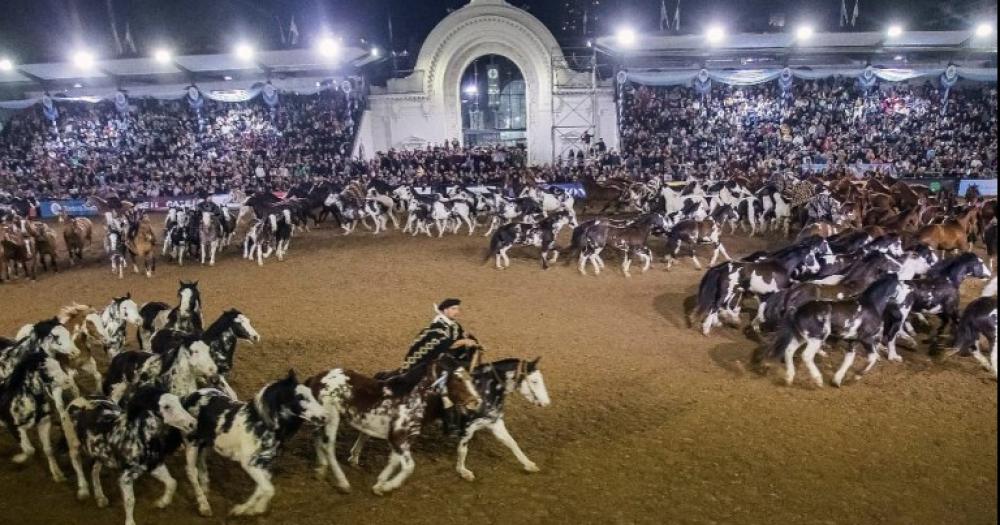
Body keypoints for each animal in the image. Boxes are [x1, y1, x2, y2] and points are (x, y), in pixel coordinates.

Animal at [65, 384, 196, 524]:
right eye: (166, 406)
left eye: (179, 402)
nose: (192, 423)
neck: (137, 436)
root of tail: (79, 400)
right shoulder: (125, 478)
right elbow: (130, 501)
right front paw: (130, 522)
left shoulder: (154, 466)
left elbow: (172, 483)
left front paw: (161, 502)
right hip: (74, 446)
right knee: (77, 464)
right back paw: (83, 491)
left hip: (99, 454)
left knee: (94, 471)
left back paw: (101, 498)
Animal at [178, 372, 322, 516]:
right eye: (300, 397)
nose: (324, 416)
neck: (261, 425)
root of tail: (188, 397)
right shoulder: (249, 464)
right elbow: (268, 489)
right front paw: (254, 508)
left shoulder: (264, 465)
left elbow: (262, 488)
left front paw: (245, 509)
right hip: (191, 443)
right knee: (191, 471)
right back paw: (204, 506)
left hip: (205, 444)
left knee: (201, 464)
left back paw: (206, 490)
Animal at [306, 352, 482, 496]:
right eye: (457, 379)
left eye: (469, 377)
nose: (477, 401)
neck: (415, 399)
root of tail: (316, 379)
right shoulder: (397, 437)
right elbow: (409, 466)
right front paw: (387, 487)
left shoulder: (404, 439)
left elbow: (394, 461)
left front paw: (379, 484)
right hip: (332, 418)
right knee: (328, 447)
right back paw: (343, 483)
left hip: (321, 420)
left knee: (317, 439)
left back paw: (320, 471)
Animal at [768, 274, 912, 384]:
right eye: (902, 288)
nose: (905, 307)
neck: (871, 305)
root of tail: (797, 310)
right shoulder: (866, 339)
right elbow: (872, 358)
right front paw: (857, 376)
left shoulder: (853, 341)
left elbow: (848, 360)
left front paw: (837, 380)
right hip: (817, 338)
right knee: (806, 356)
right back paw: (818, 379)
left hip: (801, 336)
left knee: (789, 350)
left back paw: (789, 377)